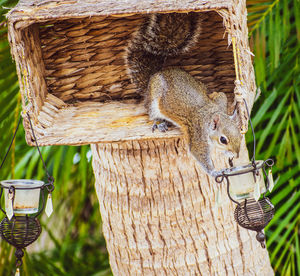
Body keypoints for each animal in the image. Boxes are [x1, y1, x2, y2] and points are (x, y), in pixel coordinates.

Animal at [125, 12, 243, 177]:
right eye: (223, 140)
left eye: (239, 133)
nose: (236, 154)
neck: (210, 116)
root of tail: (155, 75)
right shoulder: (198, 136)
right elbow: (198, 153)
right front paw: (214, 172)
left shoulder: (219, 99)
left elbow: (223, 97)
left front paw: (237, 103)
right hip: (155, 97)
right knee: (151, 112)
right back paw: (159, 122)